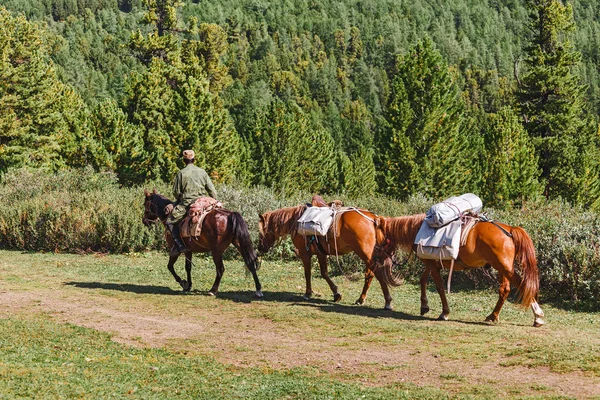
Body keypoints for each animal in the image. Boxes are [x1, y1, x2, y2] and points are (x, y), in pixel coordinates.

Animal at [256, 202, 400, 308]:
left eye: (260, 232)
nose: (260, 247)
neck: (295, 220)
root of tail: (374, 219)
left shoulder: (305, 253)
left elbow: (310, 273)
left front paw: (309, 293)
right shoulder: (321, 253)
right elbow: (324, 273)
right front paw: (336, 293)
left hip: (365, 253)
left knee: (377, 273)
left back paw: (387, 301)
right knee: (370, 274)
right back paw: (361, 299)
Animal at [380, 214, 544, 326]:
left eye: (381, 237)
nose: (378, 256)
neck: (419, 231)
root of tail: (509, 230)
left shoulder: (432, 266)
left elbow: (439, 287)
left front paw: (444, 313)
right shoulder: (431, 265)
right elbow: (423, 280)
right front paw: (424, 306)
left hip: (504, 267)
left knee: (524, 285)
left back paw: (538, 316)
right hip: (503, 269)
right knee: (505, 290)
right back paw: (493, 316)